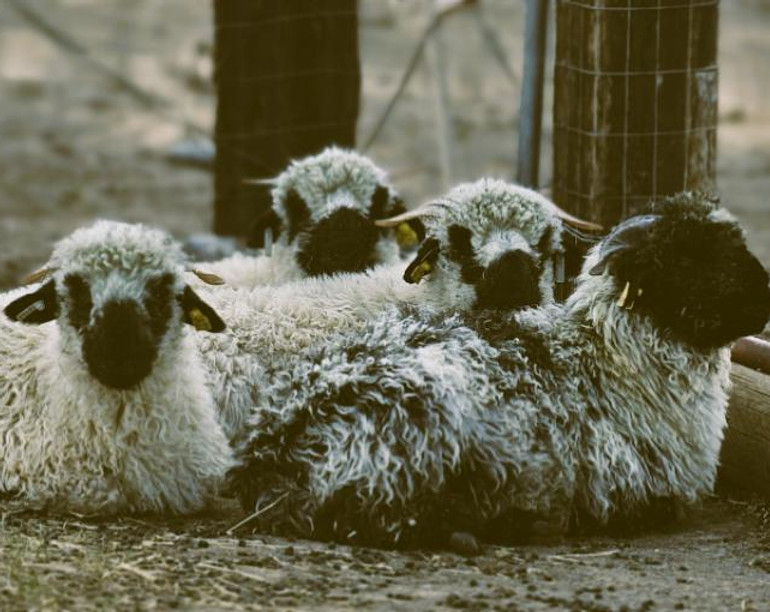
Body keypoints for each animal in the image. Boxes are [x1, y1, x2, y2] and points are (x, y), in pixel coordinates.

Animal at [227, 192, 770, 549]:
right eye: (688, 256)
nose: (763, 298)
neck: (610, 354)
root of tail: (273, 451)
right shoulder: (636, 486)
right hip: (418, 428)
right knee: (370, 515)